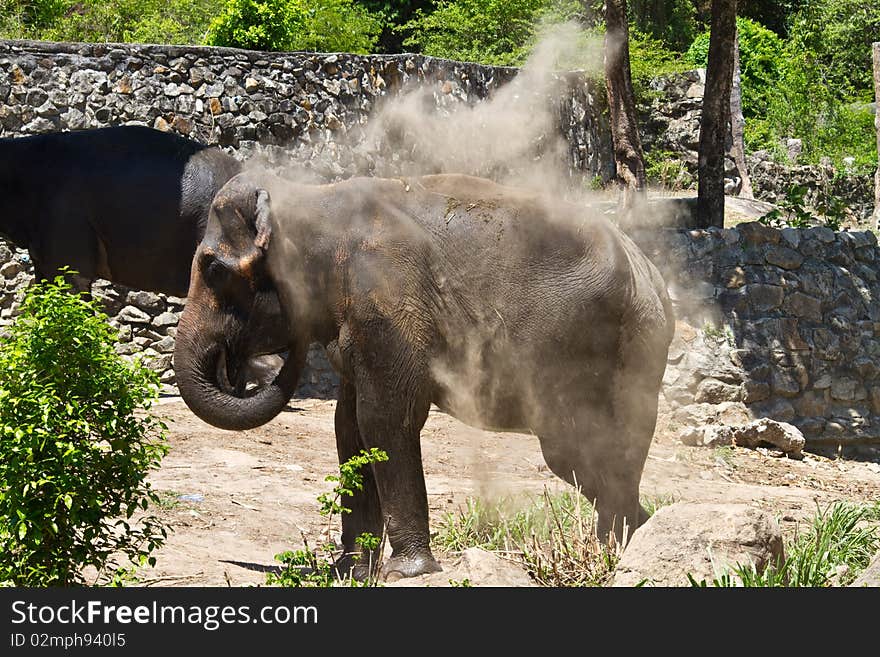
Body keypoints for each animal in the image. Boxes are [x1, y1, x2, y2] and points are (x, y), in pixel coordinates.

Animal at [175, 169, 676, 580]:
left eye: (213, 268)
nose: (238, 363)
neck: (313, 198)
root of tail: (650, 271)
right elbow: (348, 428)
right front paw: (351, 571)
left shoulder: (387, 302)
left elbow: (384, 420)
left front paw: (407, 571)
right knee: (581, 457)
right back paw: (635, 536)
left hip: (623, 353)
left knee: (586, 448)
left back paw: (618, 549)